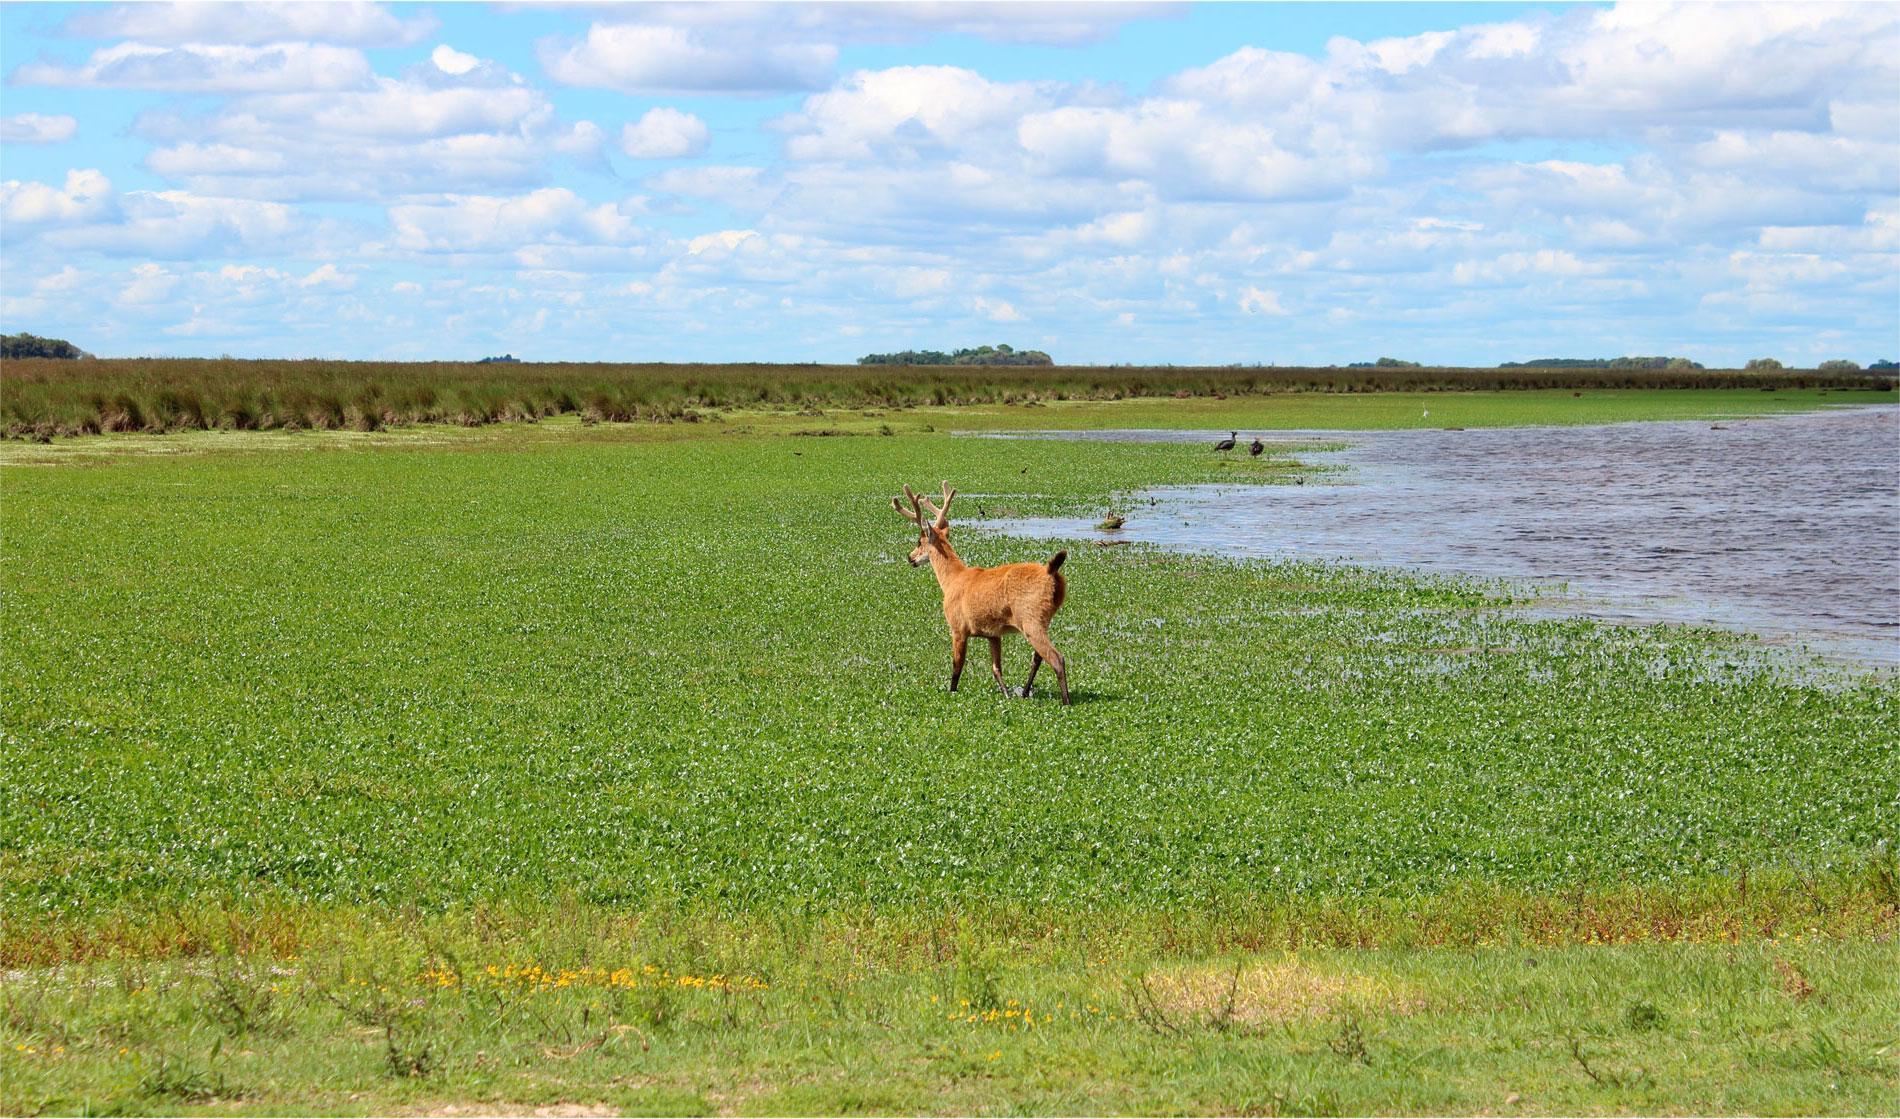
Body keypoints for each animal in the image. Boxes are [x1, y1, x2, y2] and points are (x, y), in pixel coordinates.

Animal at [893, 480, 1071, 706]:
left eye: (919, 541)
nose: (910, 557)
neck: (951, 581)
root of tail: (1052, 573)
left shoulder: (958, 626)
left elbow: (957, 667)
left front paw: (951, 692)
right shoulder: (993, 633)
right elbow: (996, 669)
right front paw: (1006, 694)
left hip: (1030, 616)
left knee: (1057, 658)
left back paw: (1066, 702)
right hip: (1041, 619)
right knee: (1038, 657)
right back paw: (1024, 692)